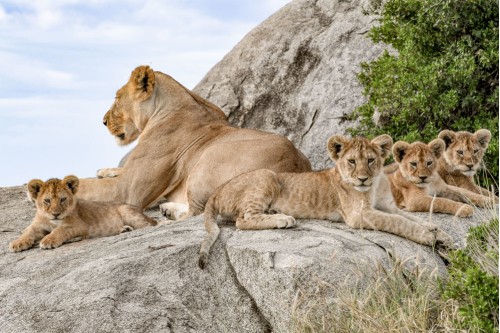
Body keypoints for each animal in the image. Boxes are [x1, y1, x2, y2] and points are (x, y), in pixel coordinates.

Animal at [77, 65, 312, 218]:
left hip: (209, 159)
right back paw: (167, 209)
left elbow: (85, 185)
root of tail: (296, 166)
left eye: (117, 98)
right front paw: (104, 170)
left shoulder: (127, 190)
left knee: (197, 212)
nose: (104, 121)